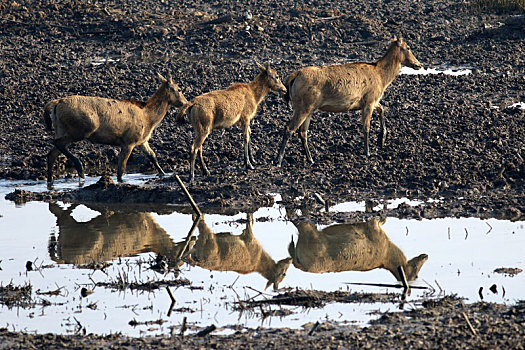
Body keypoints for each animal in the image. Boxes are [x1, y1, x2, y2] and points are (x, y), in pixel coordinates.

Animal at [43, 73, 186, 186]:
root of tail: (55, 103)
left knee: (52, 153)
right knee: (57, 143)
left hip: (60, 128)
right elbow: (121, 169)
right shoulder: (129, 141)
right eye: (179, 89)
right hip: (82, 129)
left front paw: (164, 174)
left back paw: (50, 181)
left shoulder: (142, 141)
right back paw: (80, 170)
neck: (149, 119)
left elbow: (153, 156)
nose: (185, 102)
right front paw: (121, 181)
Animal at [274, 37, 422, 166]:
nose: (419, 65)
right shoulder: (370, 99)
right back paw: (279, 160)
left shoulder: (370, 101)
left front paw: (382, 140)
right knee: (289, 128)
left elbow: (381, 109)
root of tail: (293, 77)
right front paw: (368, 152)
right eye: (408, 47)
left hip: (308, 108)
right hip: (303, 106)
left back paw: (310, 159)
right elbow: (366, 127)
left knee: (302, 132)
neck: (382, 77)